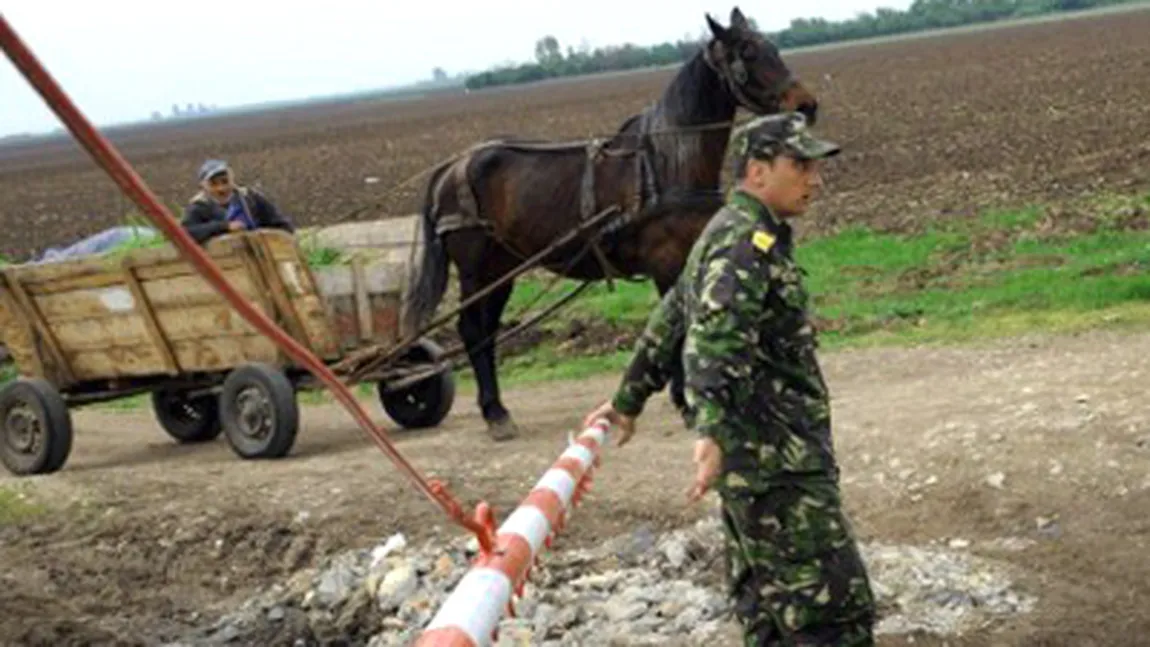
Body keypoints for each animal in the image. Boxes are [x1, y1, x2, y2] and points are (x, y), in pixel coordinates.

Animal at [404, 7, 818, 441]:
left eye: (773, 46)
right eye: (748, 53)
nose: (805, 105)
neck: (664, 162)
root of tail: (453, 166)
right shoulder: (665, 265)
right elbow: (672, 333)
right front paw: (684, 403)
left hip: (504, 269)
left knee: (486, 332)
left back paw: (496, 408)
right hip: (475, 271)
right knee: (471, 329)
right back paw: (494, 412)